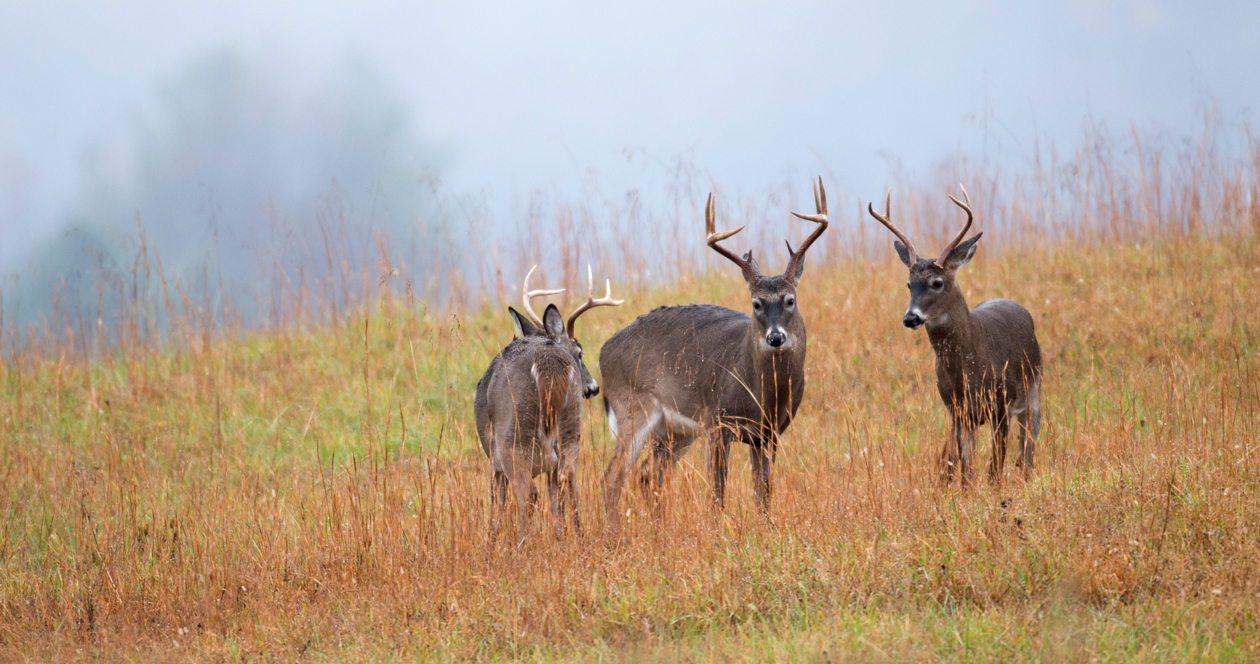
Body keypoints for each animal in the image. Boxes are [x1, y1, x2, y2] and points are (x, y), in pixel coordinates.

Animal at [474, 265, 623, 544]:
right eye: (580, 353)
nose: (594, 388)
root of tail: (546, 360)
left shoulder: (492, 456)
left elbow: (496, 502)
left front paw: (491, 543)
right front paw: (561, 537)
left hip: (513, 435)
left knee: (529, 493)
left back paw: (521, 546)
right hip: (570, 429)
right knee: (567, 481)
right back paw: (575, 540)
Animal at [599, 177, 829, 524]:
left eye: (791, 300)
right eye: (756, 303)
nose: (776, 338)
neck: (761, 394)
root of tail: (603, 351)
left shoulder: (769, 433)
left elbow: (763, 490)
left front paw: (766, 528)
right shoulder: (718, 422)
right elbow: (718, 491)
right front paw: (719, 530)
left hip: (675, 431)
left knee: (648, 475)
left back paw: (659, 528)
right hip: (635, 408)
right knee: (613, 476)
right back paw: (612, 533)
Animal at [867, 186, 1042, 486]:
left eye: (937, 283)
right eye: (908, 284)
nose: (910, 318)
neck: (970, 370)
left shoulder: (1001, 404)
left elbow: (995, 469)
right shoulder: (957, 411)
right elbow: (967, 471)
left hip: (1035, 393)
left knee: (1028, 447)